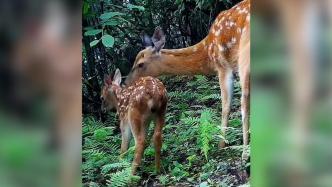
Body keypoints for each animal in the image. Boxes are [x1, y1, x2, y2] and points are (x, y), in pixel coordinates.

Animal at [126, 0, 250, 159]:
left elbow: (226, 107)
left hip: (245, 57)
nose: (126, 82)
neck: (207, 53)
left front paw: (221, 145)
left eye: (140, 64)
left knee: (245, 101)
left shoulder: (223, 67)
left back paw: (245, 153)